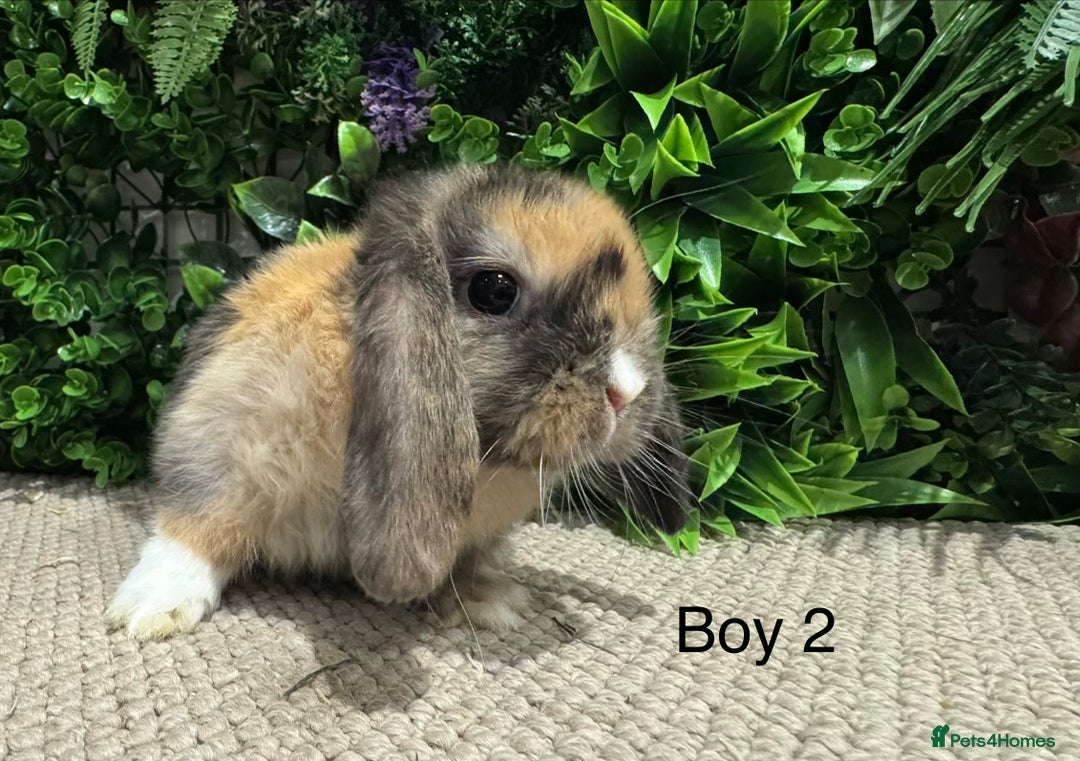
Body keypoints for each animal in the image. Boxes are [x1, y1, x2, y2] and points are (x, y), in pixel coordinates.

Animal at [106, 164, 691, 640]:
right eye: (494, 290)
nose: (627, 390)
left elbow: (466, 564)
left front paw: (493, 602)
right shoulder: (217, 447)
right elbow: (197, 530)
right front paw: (151, 610)